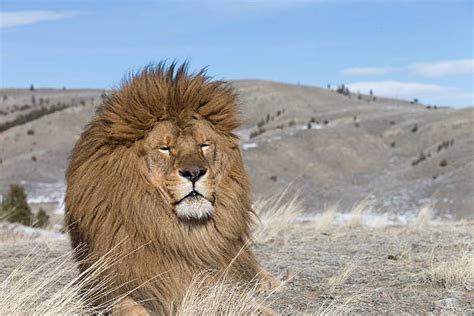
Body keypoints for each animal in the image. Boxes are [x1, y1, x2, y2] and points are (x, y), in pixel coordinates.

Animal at [63, 61, 278, 314]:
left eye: (204, 145)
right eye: (165, 148)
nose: (194, 173)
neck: (178, 233)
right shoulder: (103, 287)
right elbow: (131, 308)